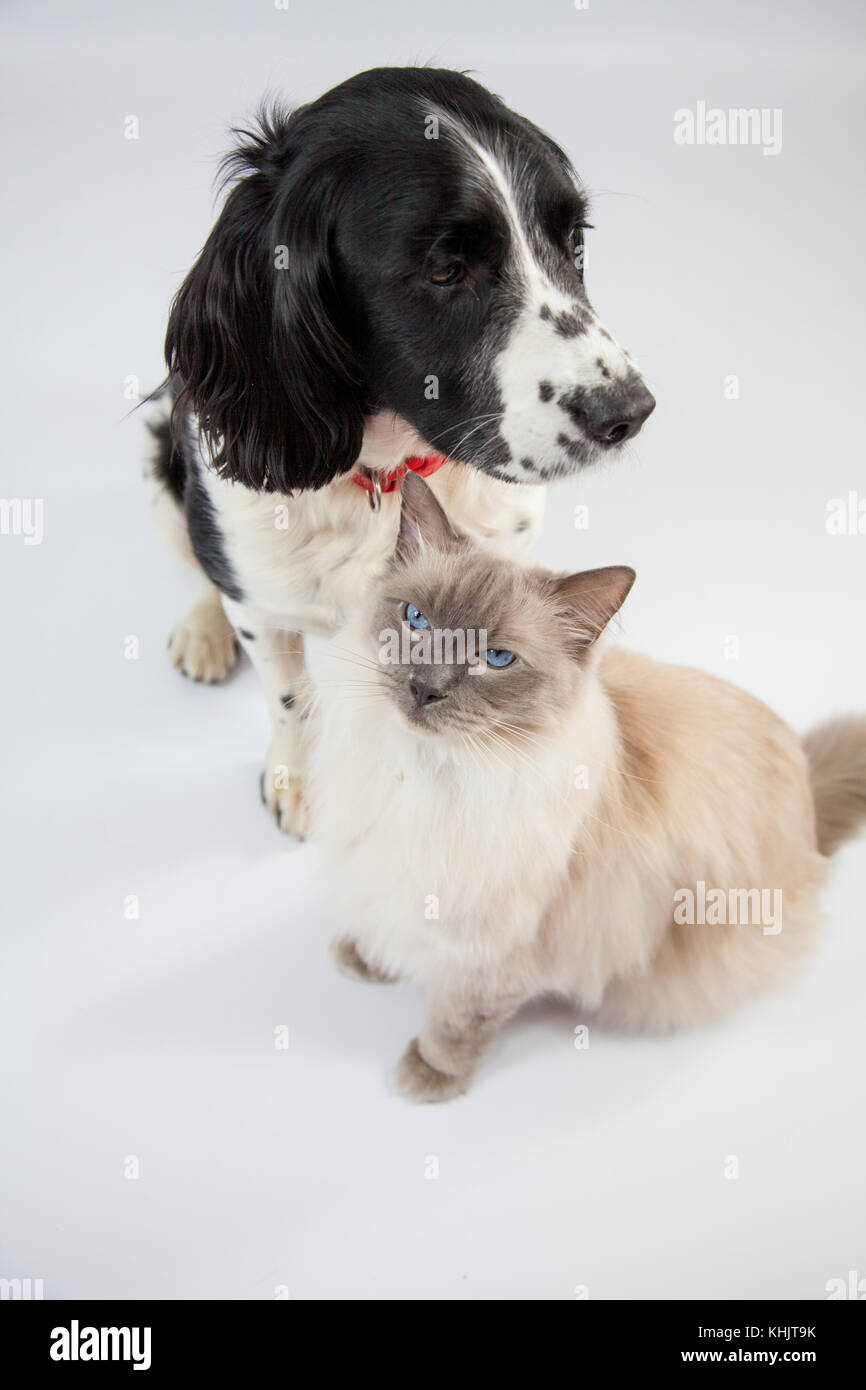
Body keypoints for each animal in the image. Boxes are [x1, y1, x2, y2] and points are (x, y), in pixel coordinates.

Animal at [148, 67, 653, 834]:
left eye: (575, 242)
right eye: (445, 270)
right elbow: (288, 697)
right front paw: (300, 780)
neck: (385, 477)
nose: (630, 412)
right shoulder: (262, 596)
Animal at [308, 472, 866, 1100]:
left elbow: (458, 1018)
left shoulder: (496, 949)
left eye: (495, 659)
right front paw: (367, 957)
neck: (431, 772)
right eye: (416, 619)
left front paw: (431, 1075)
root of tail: (808, 784)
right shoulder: (387, 866)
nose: (425, 689)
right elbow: (383, 917)